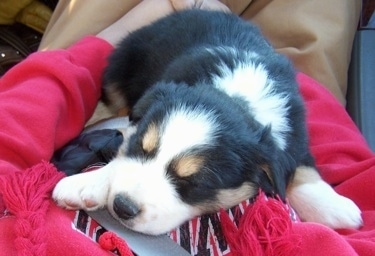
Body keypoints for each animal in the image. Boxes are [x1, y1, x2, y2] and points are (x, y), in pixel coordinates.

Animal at [51, 10, 362, 235]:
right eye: (143, 148)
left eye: (194, 182)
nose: (122, 207)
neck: (234, 95)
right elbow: (123, 152)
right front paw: (85, 184)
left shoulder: (294, 130)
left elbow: (301, 168)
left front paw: (333, 206)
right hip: (120, 68)